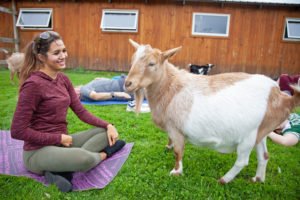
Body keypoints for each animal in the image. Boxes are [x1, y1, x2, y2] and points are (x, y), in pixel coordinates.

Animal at [125, 39, 300, 184]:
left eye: (152, 63)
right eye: (132, 60)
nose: (128, 83)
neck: (171, 87)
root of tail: (280, 96)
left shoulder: (176, 129)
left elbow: (178, 151)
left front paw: (176, 171)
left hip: (248, 137)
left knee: (242, 161)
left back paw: (224, 180)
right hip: (261, 131)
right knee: (264, 156)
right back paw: (258, 179)